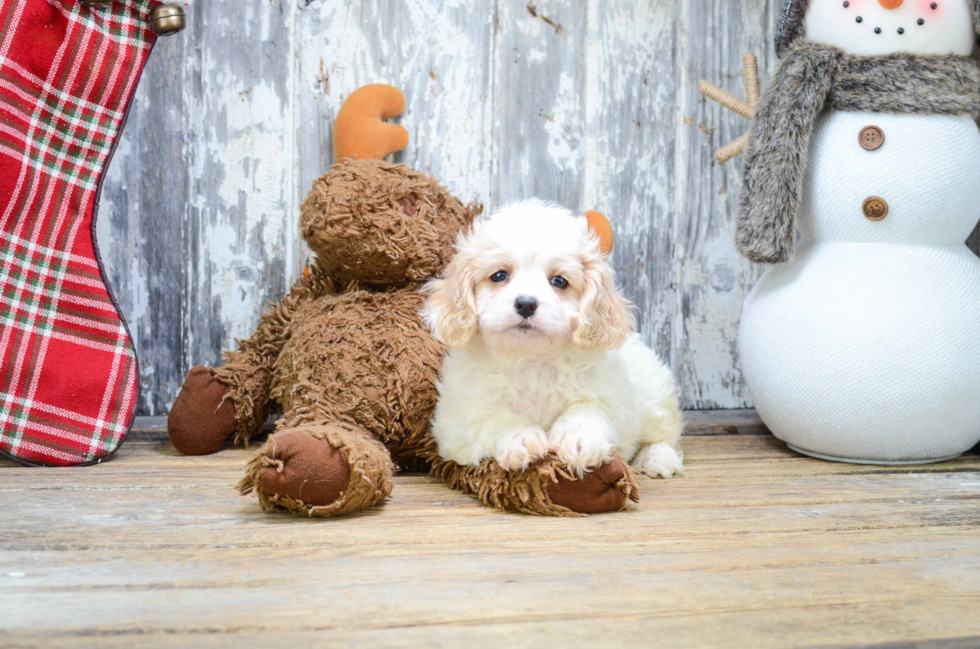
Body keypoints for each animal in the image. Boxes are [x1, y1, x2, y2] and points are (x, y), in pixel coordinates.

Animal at [422, 200, 680, 478]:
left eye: (559, 281)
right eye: (499, 275)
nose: (526, 303)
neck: (531, 359)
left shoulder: (614, 402)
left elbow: (589, 409)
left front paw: (579, 438)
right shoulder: (458, 422)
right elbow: (493, 418)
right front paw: (520, 437)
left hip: (653, 396)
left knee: (666, 431)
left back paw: (657, 458)